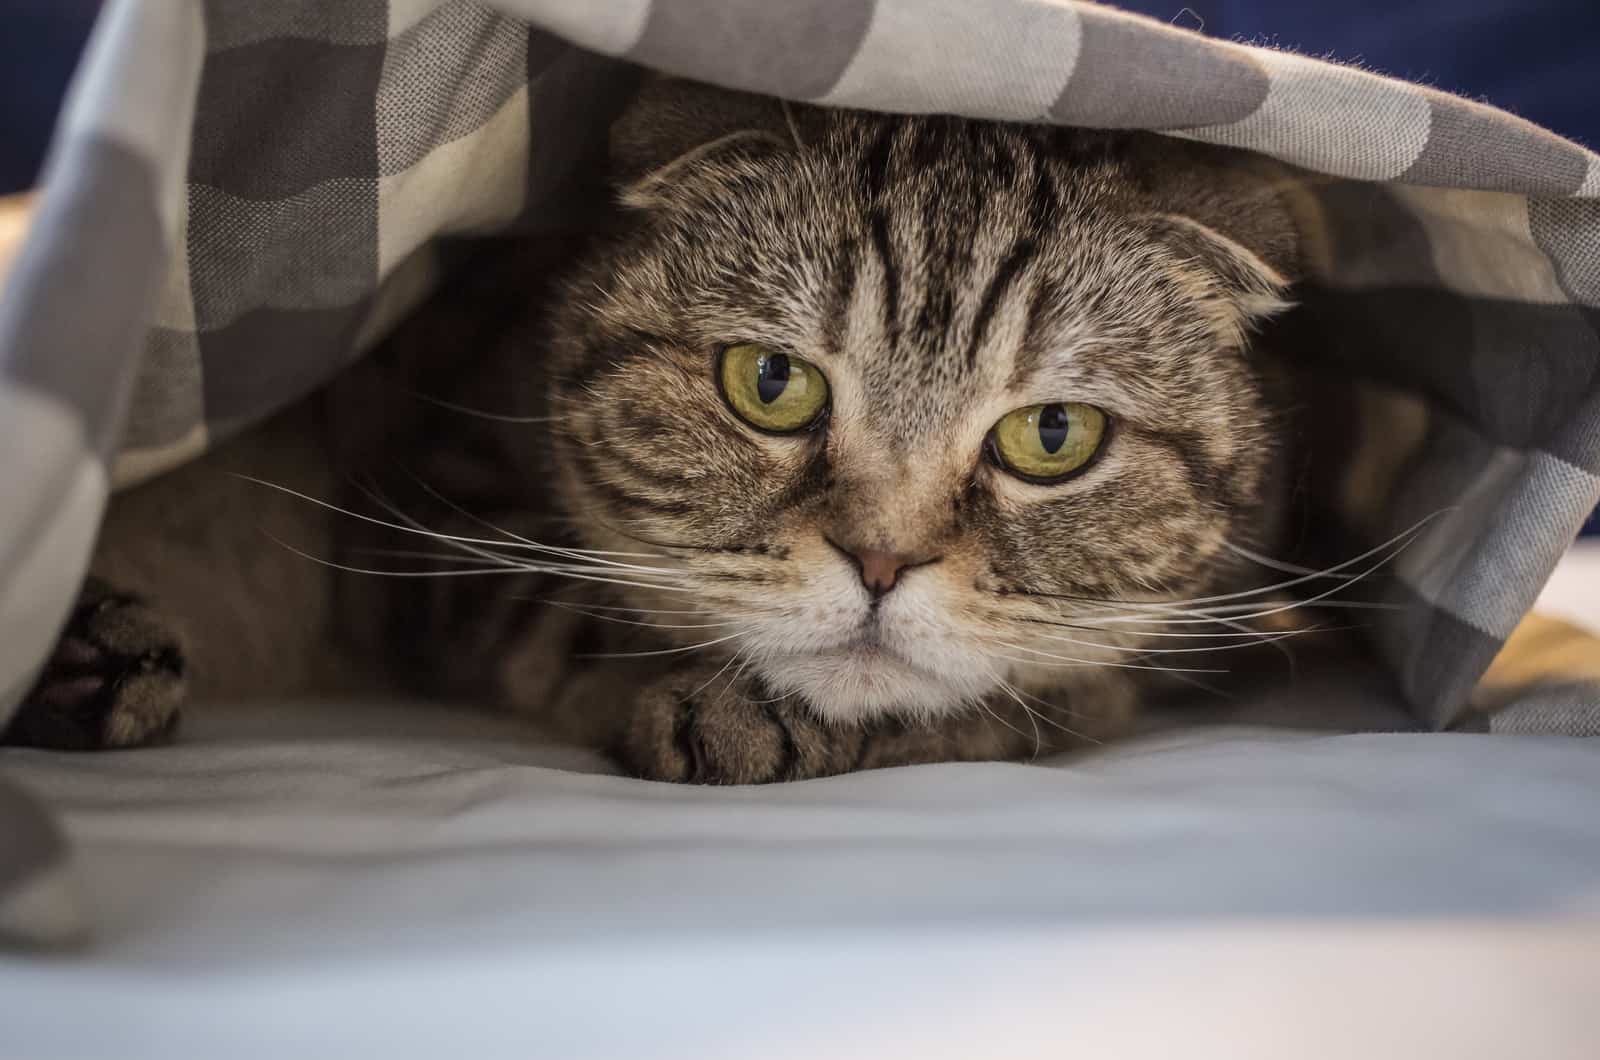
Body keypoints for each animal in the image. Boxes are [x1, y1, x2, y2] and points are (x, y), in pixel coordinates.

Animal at [3, 78, 1324, 784]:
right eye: (771, 381)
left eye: (1052, 435)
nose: (882, 560)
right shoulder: (433, 508)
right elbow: (567, 620)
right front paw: (736, 707)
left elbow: (1058, 687)